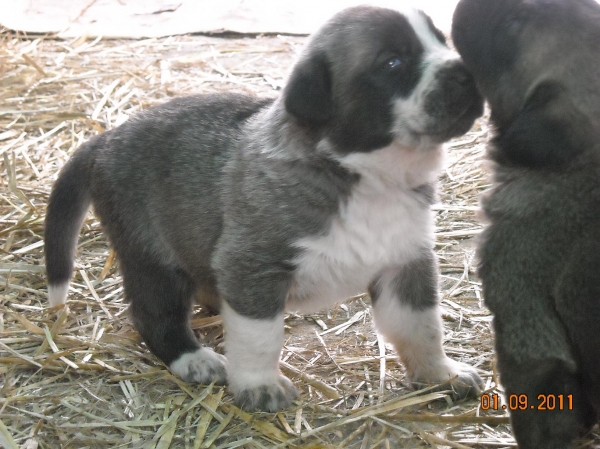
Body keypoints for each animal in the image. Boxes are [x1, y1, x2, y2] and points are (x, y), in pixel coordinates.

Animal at [48, 6, 488, 412]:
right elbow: (259, 337)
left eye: (442, 41)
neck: (365, 174)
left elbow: (421, 326)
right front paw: (260, 386)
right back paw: (193, 359)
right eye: (393, 62)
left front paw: (440, 374)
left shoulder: (406, 262)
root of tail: (106, 139)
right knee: (154, 314)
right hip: (152, 257)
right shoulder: (253, 268)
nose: (467, 72)